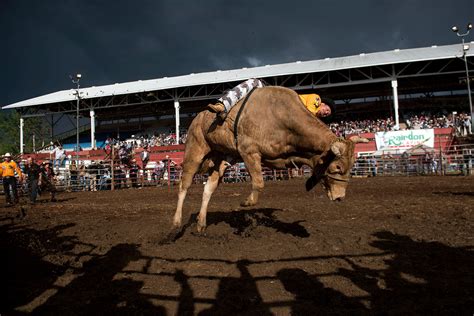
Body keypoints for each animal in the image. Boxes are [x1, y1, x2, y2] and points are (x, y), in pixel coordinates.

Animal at [172, 86, 368, 232]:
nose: (340, 197)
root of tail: (198, 117)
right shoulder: (249, 151)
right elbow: (259, 182)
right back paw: (176, 222)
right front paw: (247, 202)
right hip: (194, 150)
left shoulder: (284, 157)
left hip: (221, 159)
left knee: (208, 189)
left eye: (352, 166)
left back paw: (201, 223)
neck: (283, 118)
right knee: (184, 185)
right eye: (337, 167)